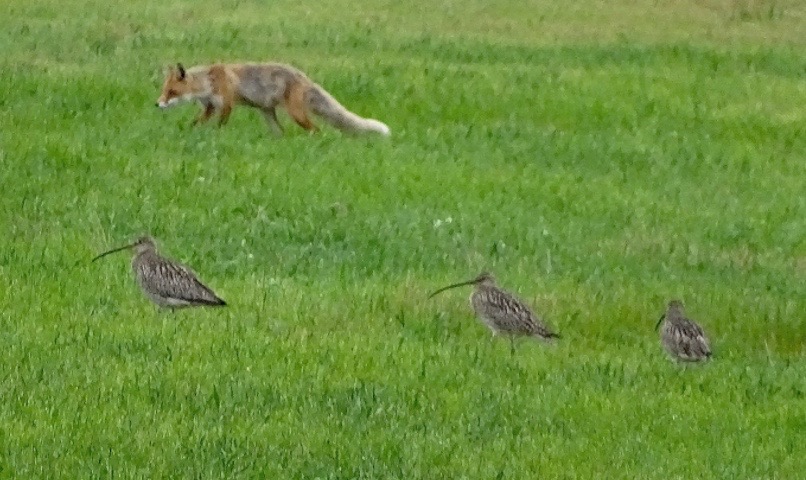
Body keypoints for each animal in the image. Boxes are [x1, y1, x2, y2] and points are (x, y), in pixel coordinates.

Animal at [156, 62, 391, 137]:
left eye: (171, 92)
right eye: (164, 90)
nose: (157, 104)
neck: (208, 82)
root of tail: (304, 76)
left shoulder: (227, 104)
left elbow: (220, 125)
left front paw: (217, 136)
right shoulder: (210, 107)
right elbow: (196, 123)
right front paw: (189, 132)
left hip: (296, 114)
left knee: (316, 130)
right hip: (267, 112)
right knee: (281, 132)